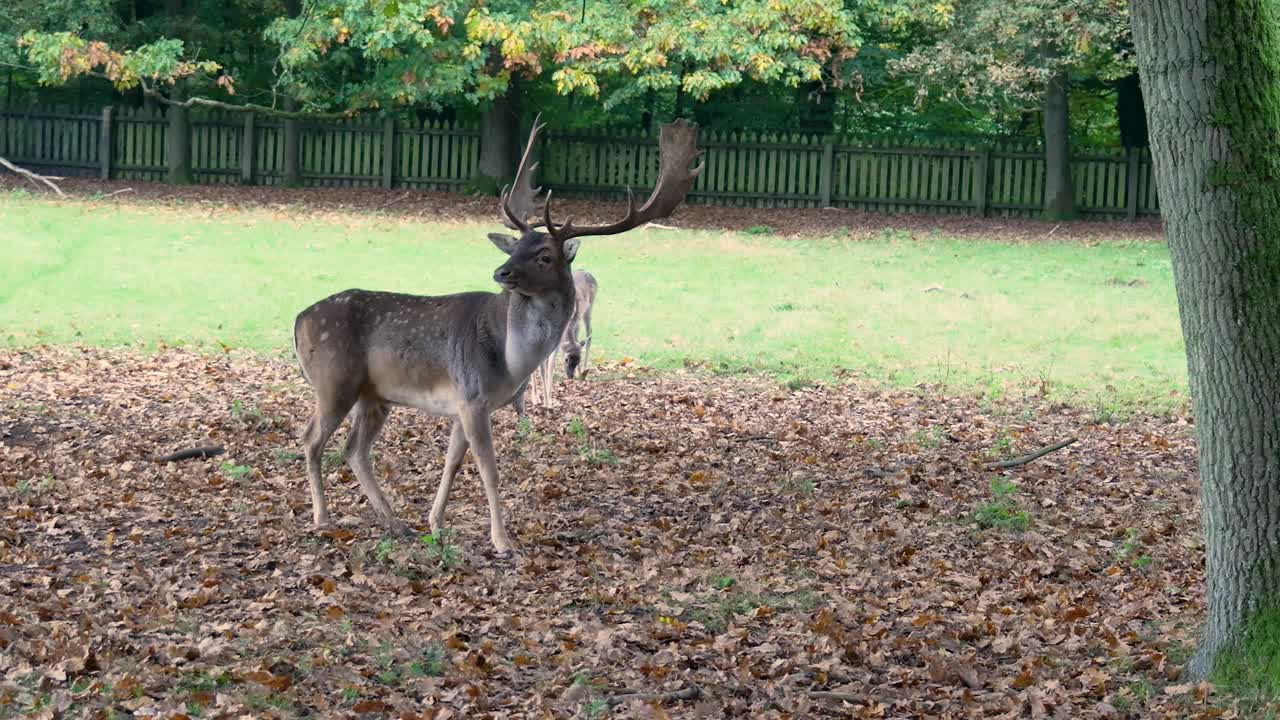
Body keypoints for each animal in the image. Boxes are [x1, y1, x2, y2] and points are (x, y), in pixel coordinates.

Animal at [292, 116, 702, 554]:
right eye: (515, 246)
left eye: (545, 255)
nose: (500, 272)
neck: (510, 360)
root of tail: (298, 321)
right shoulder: (472, 396)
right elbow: (489, 470)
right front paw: (503, 541)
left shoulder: (463, 403)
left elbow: (453, 463)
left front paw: (436, 523)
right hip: (335, 380)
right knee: (311, 439)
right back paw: (323, 518)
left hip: (374, 394)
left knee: (353, 449)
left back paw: (396, 523)